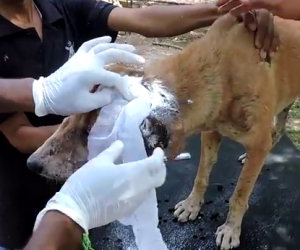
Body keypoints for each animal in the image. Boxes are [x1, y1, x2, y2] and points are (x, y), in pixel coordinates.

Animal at [27, 15, 300, 250]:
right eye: (67, 118)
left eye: (89, 131)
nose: (31, 164)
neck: (219, 69)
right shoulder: (211, 133)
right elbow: (201, 175)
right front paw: (192, 205)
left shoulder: (256, 141)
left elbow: (240, 193)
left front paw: (231, 229)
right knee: (278, 129)